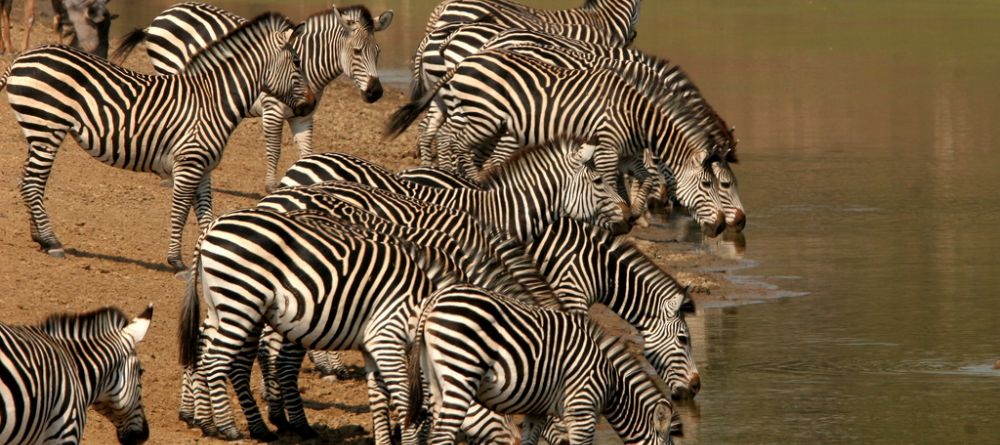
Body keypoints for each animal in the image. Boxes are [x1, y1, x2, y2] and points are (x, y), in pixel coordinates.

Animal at [0, 13, 312, 270]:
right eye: (297, 63)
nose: (309, 107)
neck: (213, 101)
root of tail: (21, 59)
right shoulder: (189, 163)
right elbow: (180, 212)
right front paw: (176, 261)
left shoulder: (204, 167)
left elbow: (206, 214)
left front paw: (206, 255)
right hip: (46, 127)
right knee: (33, 183)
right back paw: (51, 241)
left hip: (37, 131)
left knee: (28, 182)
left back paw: (39, 238)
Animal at [113, 2, 394, 192]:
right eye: (357, 51)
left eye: (379, 52)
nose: (376, 93)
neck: (307, 64)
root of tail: (164, 14)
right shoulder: (272, 110)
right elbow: (274, 150)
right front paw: (270, 186)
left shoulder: (304, 116)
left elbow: (306, 151)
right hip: (171, 69)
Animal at [384, 48, 728, 236]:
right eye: (709, 185)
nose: (722, 227)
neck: (635, 116)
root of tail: (465, 61)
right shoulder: (608, 147)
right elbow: (612, 181)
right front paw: (620, 216)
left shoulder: (627, 154)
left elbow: (644, 178)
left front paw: (635, 214)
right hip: (483, 116)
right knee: (450, 142)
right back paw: (453, 175)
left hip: (485, 119)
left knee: (454, 142)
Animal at [406, 284, 680, 444]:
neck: (611, 380)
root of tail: (436, 298)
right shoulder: (582, 410)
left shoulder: (536, 411)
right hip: (462, 372)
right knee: (443, 435)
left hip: (435, 378)